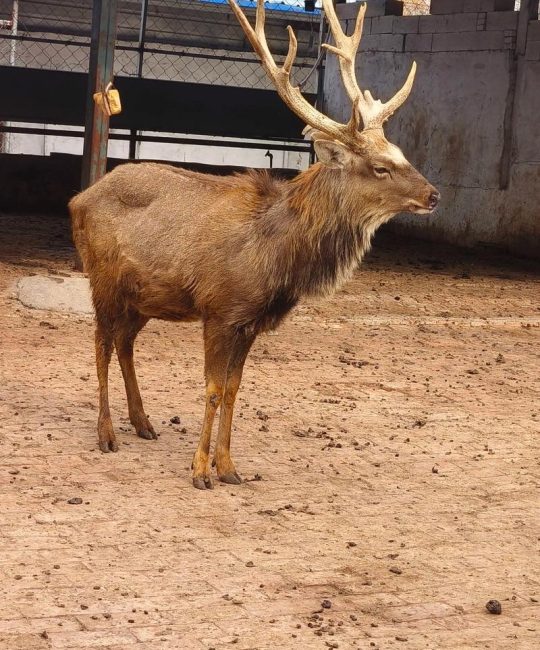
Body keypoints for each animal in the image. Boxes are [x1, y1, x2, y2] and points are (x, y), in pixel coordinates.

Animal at [69, 0, 439, 490]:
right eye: (380, 166)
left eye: (401, 153)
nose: (434, 195)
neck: (278, 257)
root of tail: (77, 200)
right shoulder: (220, 309)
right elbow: (211, 389)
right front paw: (199, 472)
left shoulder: (250, 322)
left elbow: (233, 390)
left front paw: (229, 468)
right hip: (102, 279)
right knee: (101, 342)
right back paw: (107, 433)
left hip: (144, 296)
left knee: (125, 342)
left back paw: (143, 423)